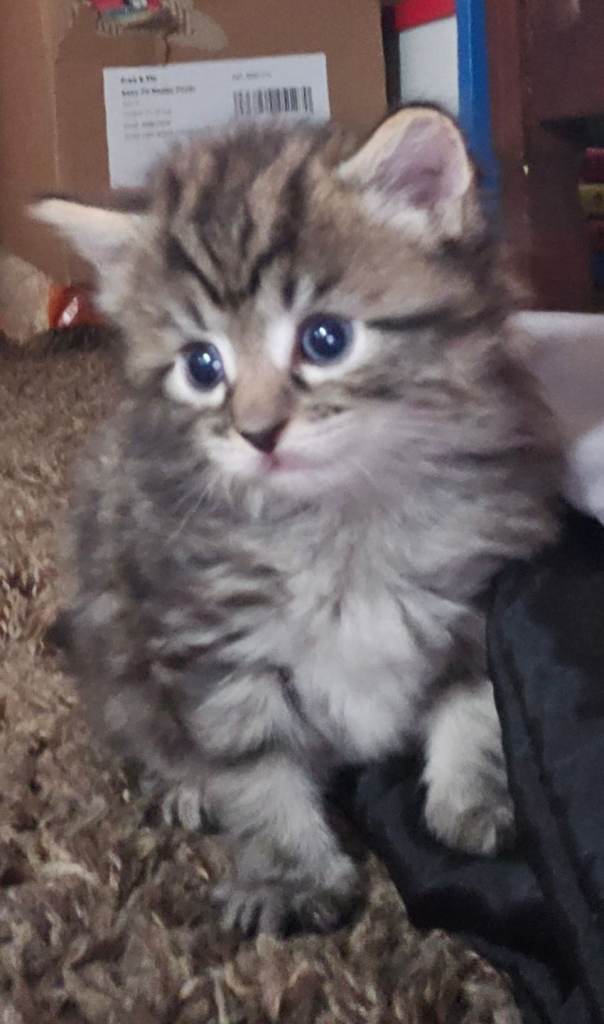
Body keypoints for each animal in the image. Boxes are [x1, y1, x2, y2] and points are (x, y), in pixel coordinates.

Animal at [32, 105, 561, 936]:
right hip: (113, 642)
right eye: (202, 366)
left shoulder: (478, 592)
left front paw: (475, 800)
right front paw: (289, 873)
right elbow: (256, 772)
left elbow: (474, 708)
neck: (340, 520)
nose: (258, 433)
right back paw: (182, 783)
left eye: (325, 339)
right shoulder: (216, 643)